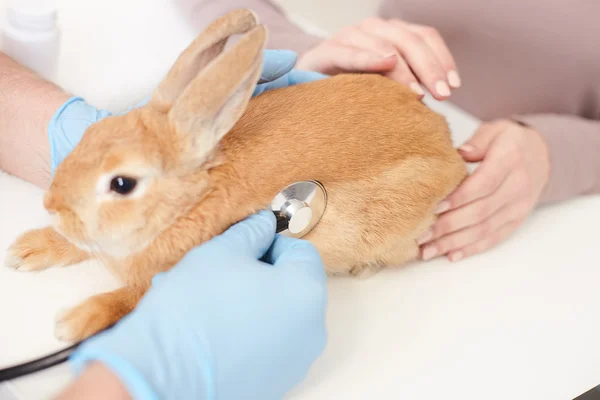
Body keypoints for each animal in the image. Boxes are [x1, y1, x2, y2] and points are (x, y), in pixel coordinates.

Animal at [3, 7, 468, 342]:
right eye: (91, 134)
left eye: (122, 184)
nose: (51, 204)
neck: (187, 201)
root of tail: (450, 149)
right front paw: (27, 249)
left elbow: (130, 299)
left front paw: (74, 321)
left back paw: (364, 269)